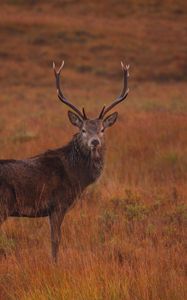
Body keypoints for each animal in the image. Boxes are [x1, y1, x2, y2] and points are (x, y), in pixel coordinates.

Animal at [0, 61, 129, 262]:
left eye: (102, 129)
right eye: (83, 130)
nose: (95, 142)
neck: (77, 177)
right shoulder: (58, 203)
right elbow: (56, 239)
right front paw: (55, 264)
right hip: (3, 205)